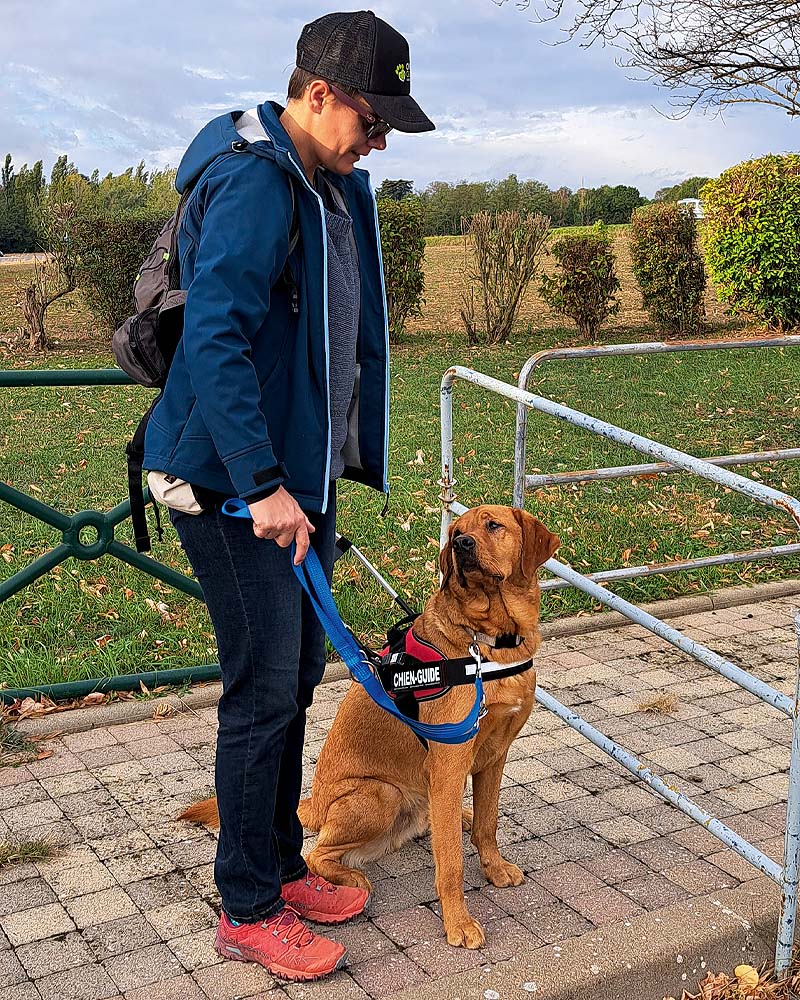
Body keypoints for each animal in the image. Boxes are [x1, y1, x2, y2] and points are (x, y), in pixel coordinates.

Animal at [180, 504, 556, 948]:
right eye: (458, 532)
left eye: (493, 525)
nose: (462, 544)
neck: (489, 643)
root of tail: (317, 804)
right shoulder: (449, 764)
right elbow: (450, 863)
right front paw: (458, 922)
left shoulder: (495, 757)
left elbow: (488, 824)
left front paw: (494, 867)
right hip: (381, 794)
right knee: (318, 853)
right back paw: (351, 878)